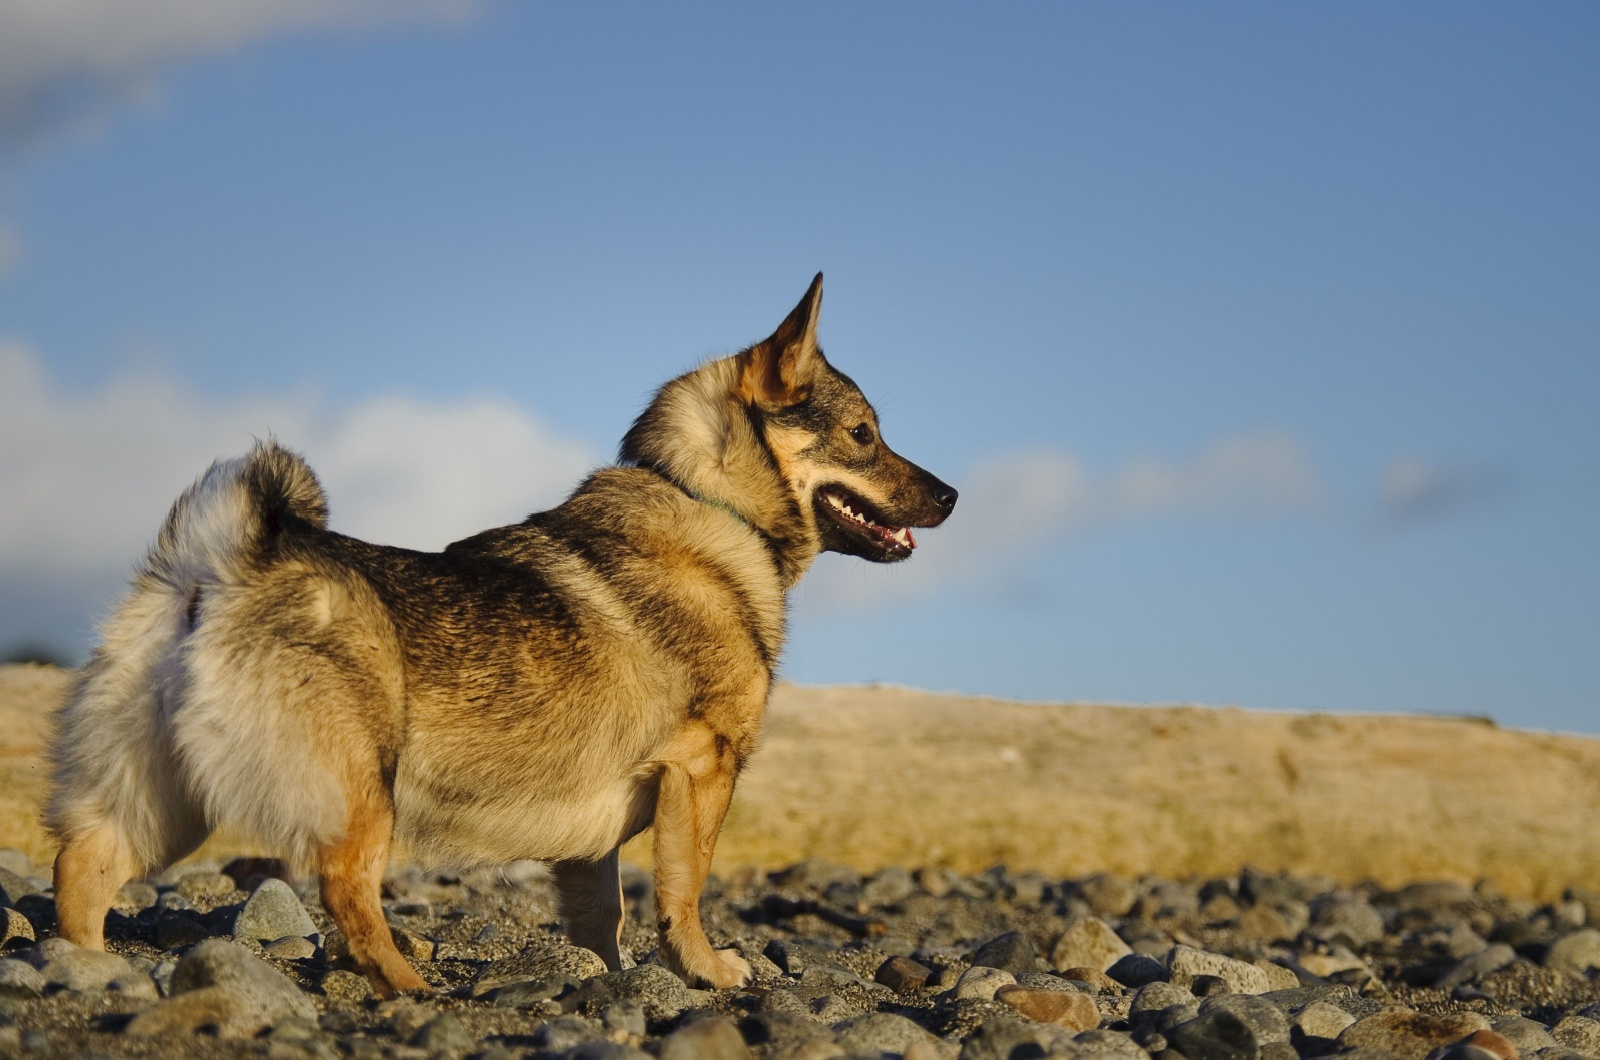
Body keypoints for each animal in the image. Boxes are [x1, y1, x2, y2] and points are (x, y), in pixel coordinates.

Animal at [46, 273, 947, 999]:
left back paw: (90, 972)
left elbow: (605, 917)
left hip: (162, 800)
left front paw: (610, 979)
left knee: (80, 870)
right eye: (863, 434)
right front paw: (706, 970)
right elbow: (683, 894)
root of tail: (223, 560)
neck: (708, 501)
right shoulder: (704, 770)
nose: (954, 496)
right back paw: (409, 987)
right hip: (360, 790)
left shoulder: (596, 840)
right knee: (345, 891)